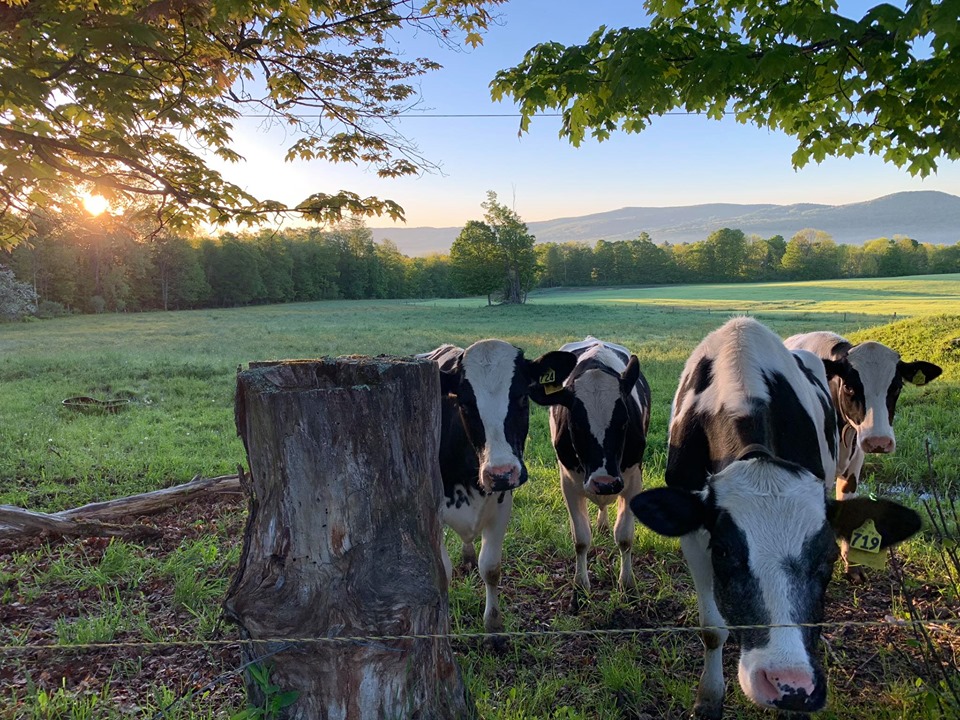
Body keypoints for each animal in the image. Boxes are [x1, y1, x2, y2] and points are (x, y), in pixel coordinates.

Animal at [416, 340, 572, 640]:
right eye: (464, 403)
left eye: (522, 397)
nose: (500, 473)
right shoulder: (432, 514)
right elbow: (443, 574)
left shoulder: (502, 505)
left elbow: (490, 567)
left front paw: (494, 626)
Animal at [548, 334, 652, 604]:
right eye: (575, 424)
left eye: (624, 421)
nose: (604, 482)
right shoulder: (568, 484)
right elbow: (581, 539)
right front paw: (580, 586)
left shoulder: (632, 480)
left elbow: (624, 537)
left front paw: (627, 584)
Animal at [628, 320, 920, 720]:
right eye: (723, 552)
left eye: (827, 556)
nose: (790, 685)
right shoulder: (693, 531)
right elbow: (712, 628)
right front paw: (709, 698)